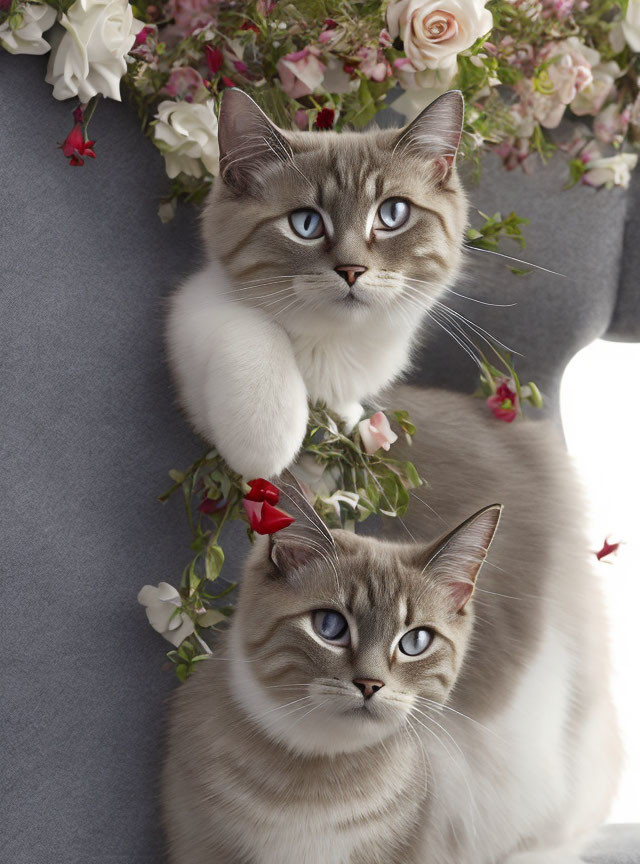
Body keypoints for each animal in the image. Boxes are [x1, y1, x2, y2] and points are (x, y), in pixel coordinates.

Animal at [165, 86, 464, 480]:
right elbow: (252, 325)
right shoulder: (194, 304)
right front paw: (266, 438)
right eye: (306, 223)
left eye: (392, 214)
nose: (352, 270)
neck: (331, 341)